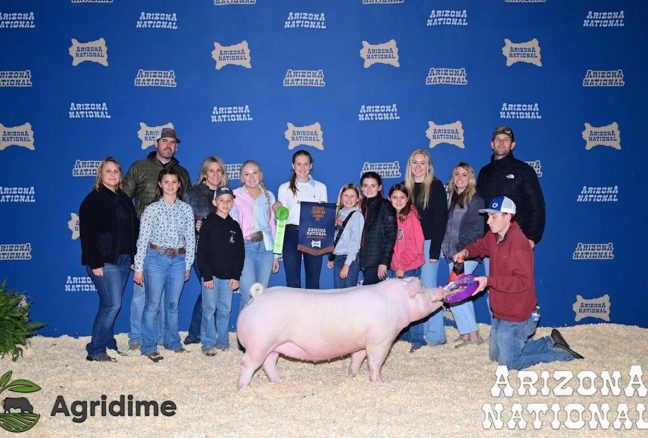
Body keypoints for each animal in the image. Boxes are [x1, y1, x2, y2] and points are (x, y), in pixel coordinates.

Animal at [237, 278, 446, 388]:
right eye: (422, 291)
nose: (441, 289)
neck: (396, 303)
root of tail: (257, 296)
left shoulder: (362, 342)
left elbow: (357, 358)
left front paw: (351, 375)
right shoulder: (381, 339)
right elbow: (375, 361)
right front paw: (379, 381)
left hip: (274, 345)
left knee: (269, 363)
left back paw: (279, 381)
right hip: (260, 343)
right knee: (249, 363)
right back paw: (242, 387)